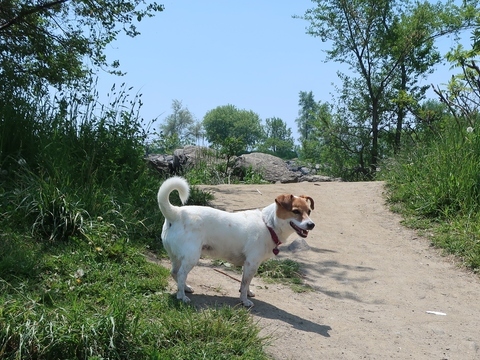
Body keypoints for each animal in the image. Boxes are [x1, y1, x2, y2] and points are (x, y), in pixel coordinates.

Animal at [158, 176, 316, 306]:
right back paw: (181, 296)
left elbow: (246, 282)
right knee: (181, 274)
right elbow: (245, 283)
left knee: (175, 273)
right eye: (295, 211)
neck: (268, 224)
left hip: (177, 256)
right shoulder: (252, 263)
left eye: (309, 211)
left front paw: (247, 293)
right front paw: (244, 300)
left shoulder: (249, 265)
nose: (311, 225)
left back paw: (184, 287)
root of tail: (176, 213)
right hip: (192, 257)